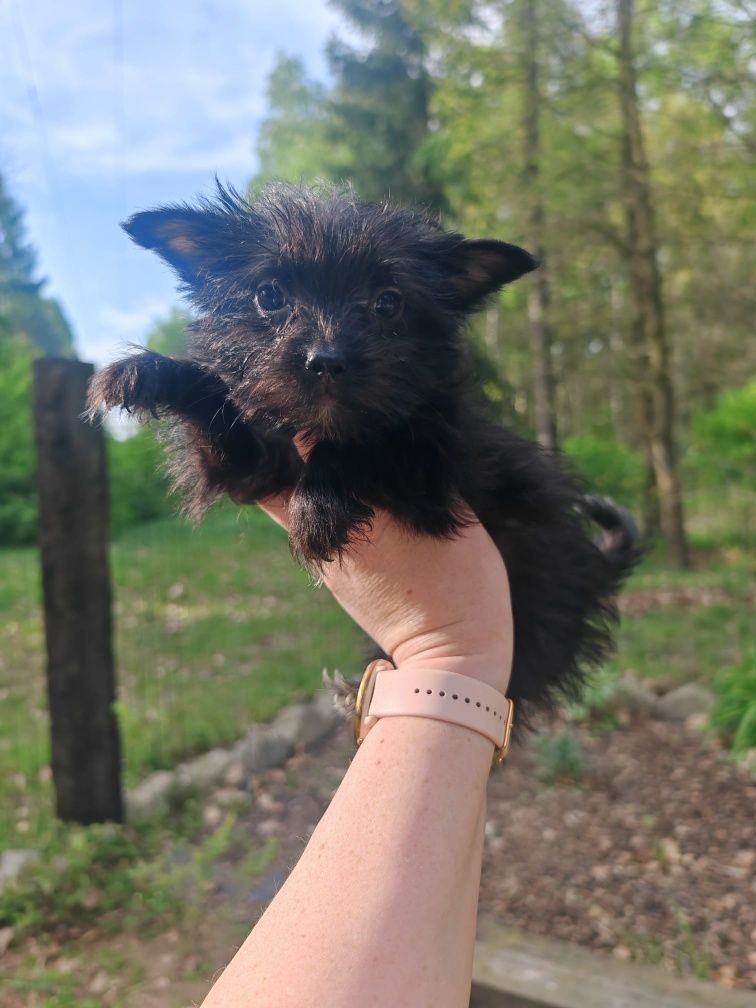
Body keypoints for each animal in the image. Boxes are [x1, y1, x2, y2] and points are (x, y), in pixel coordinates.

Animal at [91, 185, 641, 721]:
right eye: (269, 295)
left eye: (388, 303)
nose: (326, 360)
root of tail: (596, 565)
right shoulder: (254, 469)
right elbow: (218, 399)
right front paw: (153, 372)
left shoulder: (432, 468)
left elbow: (369, 437)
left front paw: (318, 505)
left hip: (535, 611)